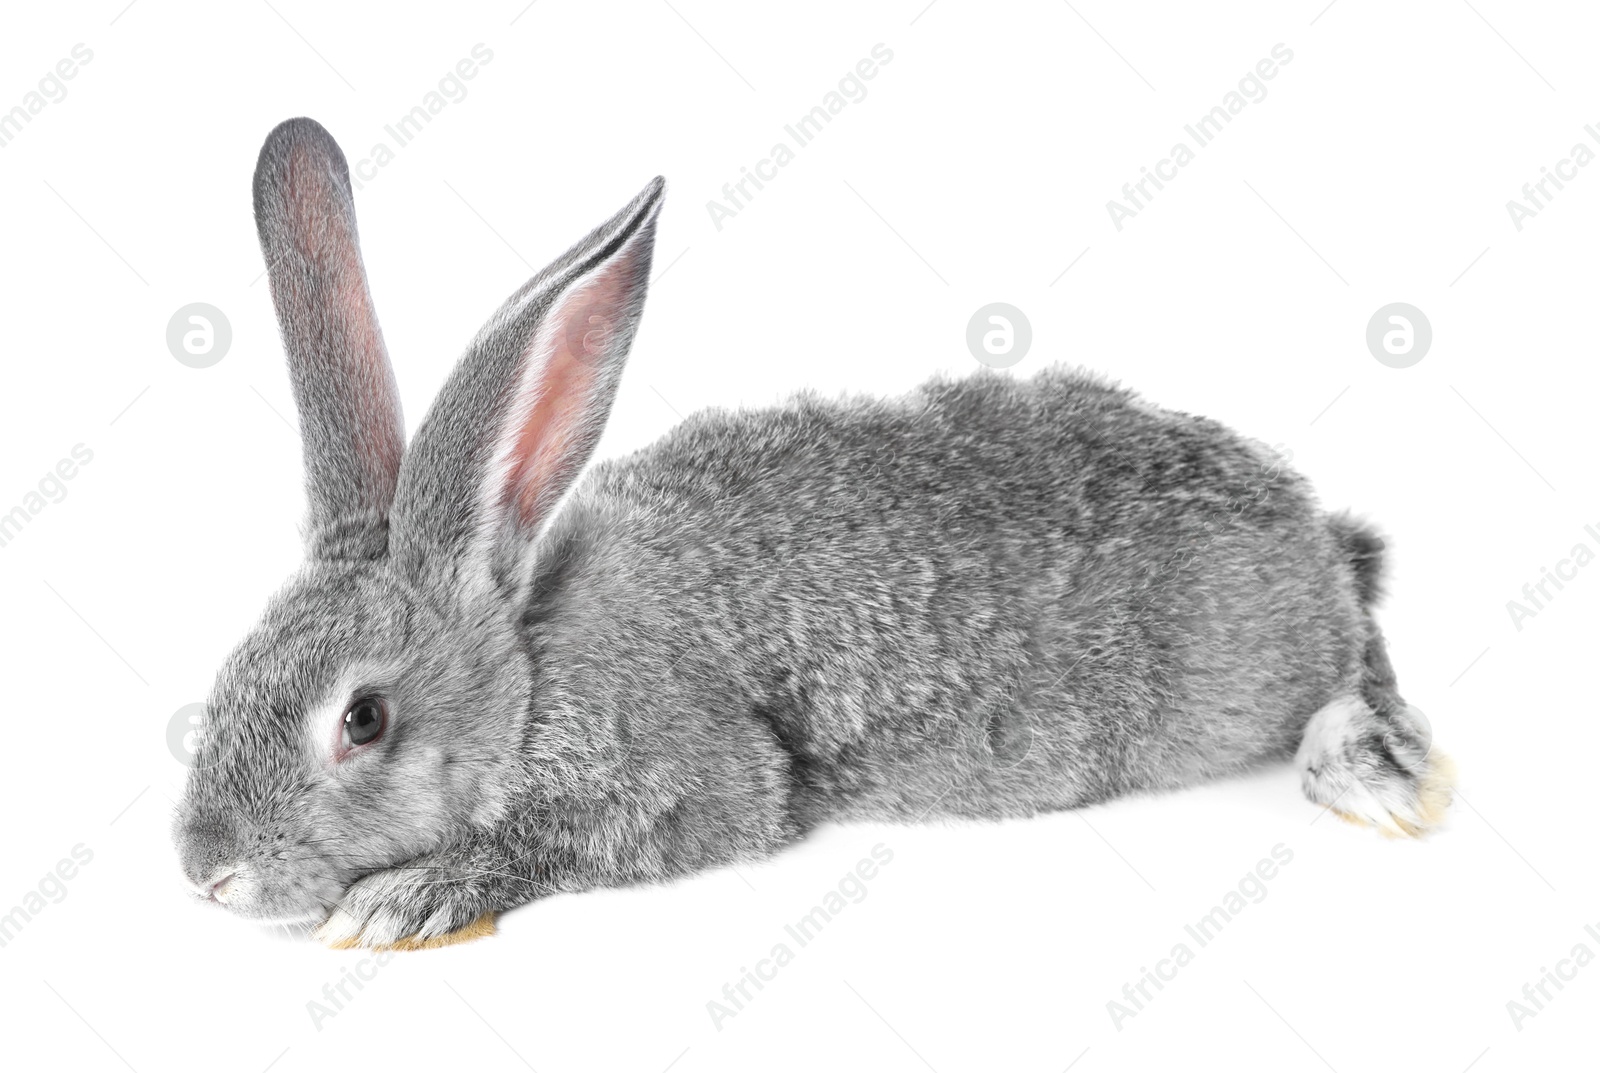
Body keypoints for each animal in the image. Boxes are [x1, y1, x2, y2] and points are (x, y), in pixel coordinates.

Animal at [172, 117, 1452, 946]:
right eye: (227, 673)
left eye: (364, 719)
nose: (206, 874)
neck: (527, 665)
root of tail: (1316, 536)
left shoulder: (693, 780)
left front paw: (404, 898)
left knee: (1363, 666)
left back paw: (1372, 772)